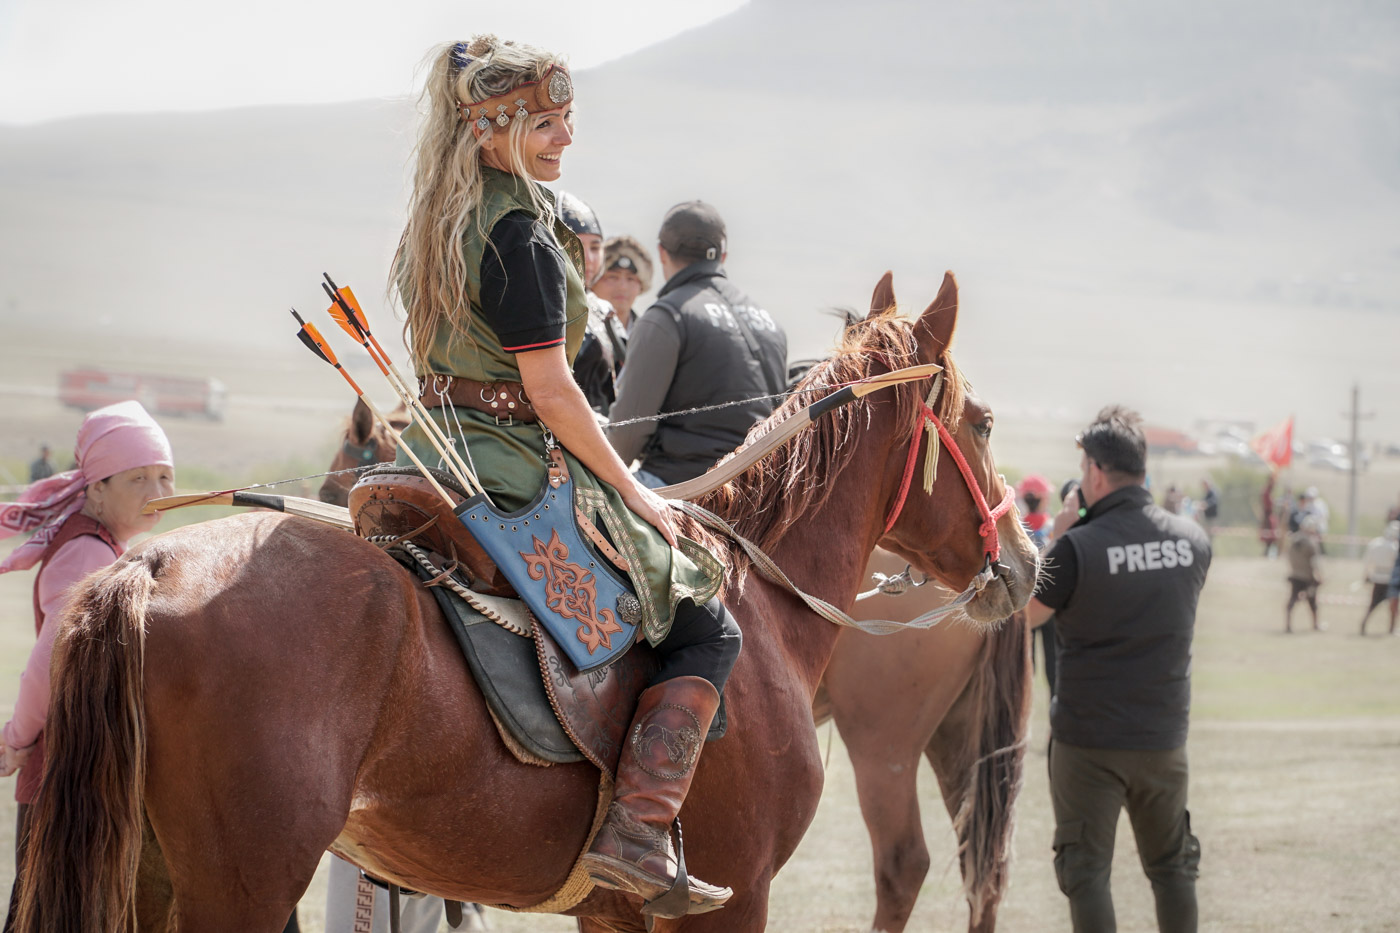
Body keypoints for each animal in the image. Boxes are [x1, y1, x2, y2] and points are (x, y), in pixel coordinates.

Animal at [13, 270, 1041, 930]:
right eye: (986, 423)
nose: (1028, 560)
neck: (767, 605)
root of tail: (148, 569)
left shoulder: (616, 914)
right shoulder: (735, 896)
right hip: (240, 885)